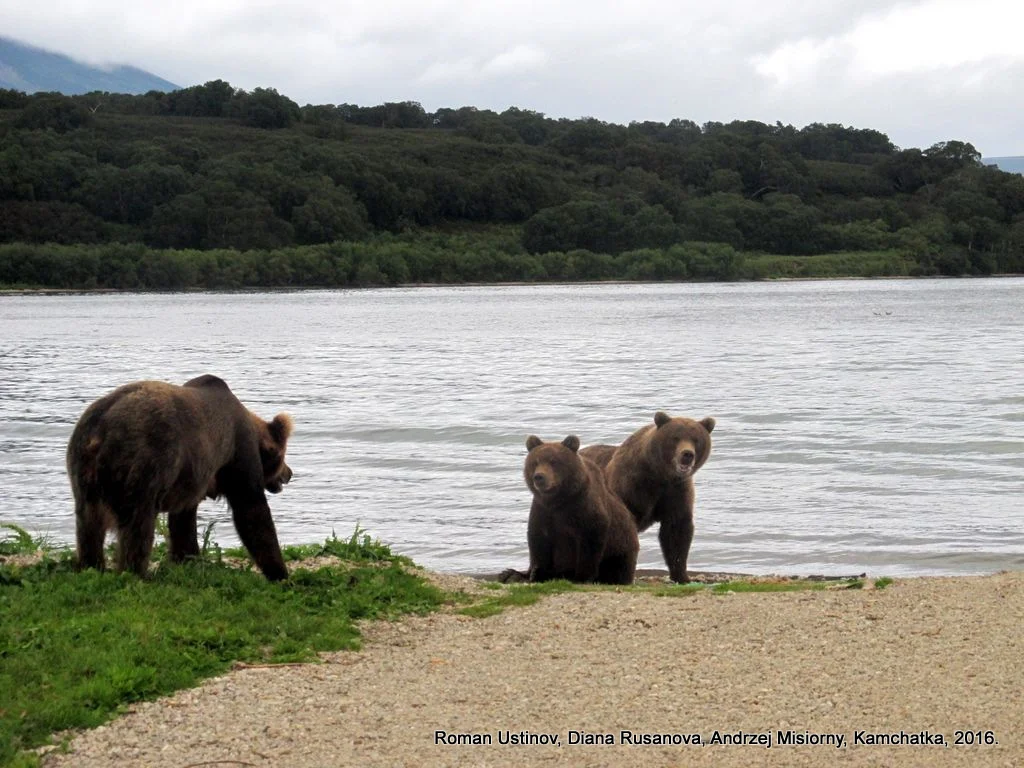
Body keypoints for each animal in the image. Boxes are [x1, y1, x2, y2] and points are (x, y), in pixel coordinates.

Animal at [66, 374, 294, 581]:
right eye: (283, 456)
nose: (289, 473)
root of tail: (101, 427)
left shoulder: (188, 478)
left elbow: (183, 521)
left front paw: (187, 558)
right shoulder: (237, 450)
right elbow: (251, 508)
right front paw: (280, 574)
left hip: (82, 468)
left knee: (89, 523)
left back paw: (92, 566)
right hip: (144, 459)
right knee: (138, 525)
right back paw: (136, 573)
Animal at [505, 436, 638, 585]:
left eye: (554, 461)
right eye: (535, 462)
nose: (539, 476)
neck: (558, 500)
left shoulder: (583, 509)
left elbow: (590, 541)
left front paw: (582, 577)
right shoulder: (543, 511)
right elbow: (539, 541)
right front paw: (536, 574)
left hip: (620, 546)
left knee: (617, 567)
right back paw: (511, 574)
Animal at [581, 415, 716, 581]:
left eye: (696, 439)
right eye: (675, 437)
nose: (687, 454)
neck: (660, 475)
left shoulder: (676, 491)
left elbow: (677, 531)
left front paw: (681, 576)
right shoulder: (632, 487)